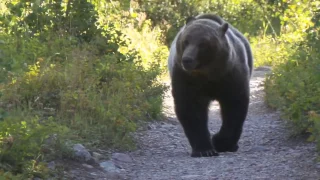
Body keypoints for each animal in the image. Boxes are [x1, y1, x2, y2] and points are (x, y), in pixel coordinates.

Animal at [168, 13, 252, 158]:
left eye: (202, 44)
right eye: (186, 41)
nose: (187, 59)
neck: (207, 73)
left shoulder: (231, 75)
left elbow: (234, 105)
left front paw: (220, 142)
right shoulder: (185, 78)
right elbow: (191, 109)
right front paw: (204, 149)